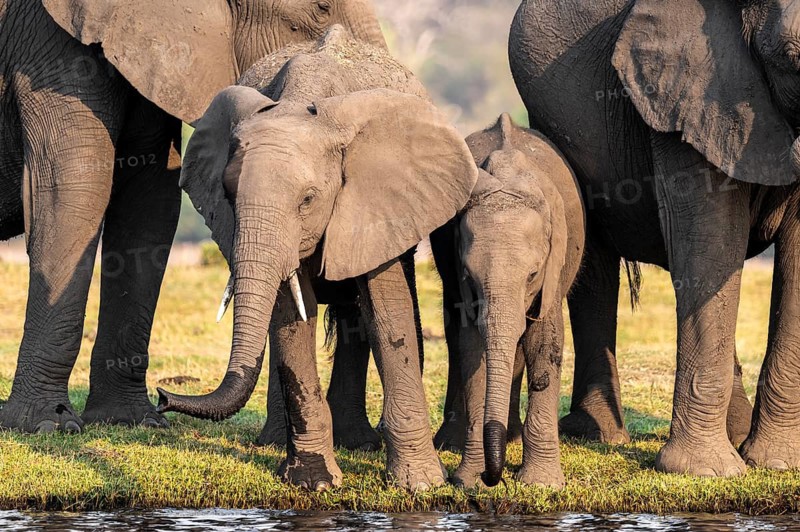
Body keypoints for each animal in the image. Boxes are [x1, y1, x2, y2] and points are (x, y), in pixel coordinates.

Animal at [0, 0, 384, 433]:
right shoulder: (47, 45)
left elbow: (150, 197)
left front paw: (135, 420)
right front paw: (45, 424)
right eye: (320, 9)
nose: (165, 396)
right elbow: (75, 185)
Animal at [156, 29, 479, 490]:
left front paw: (420, 485)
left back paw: (360, 443)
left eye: (308, 199)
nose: (162, 396)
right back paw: (279, 442)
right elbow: (293, 317)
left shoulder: (378, 200)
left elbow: (388, 315)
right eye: (229, 195)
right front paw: (313, 482)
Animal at [430, 114, 584, 488]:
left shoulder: (553, 267)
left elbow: (545, 341)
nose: (492, 478)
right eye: (470, 275)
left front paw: (541, 483)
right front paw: (467, 480)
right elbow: (473, 347)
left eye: (532, 275)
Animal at [510, 0, 800, 475]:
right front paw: (703, 472)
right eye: (793, 60)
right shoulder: (685, 97)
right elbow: (709, 247)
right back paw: (597, 434)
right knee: (594, 263)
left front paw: (777, 464)